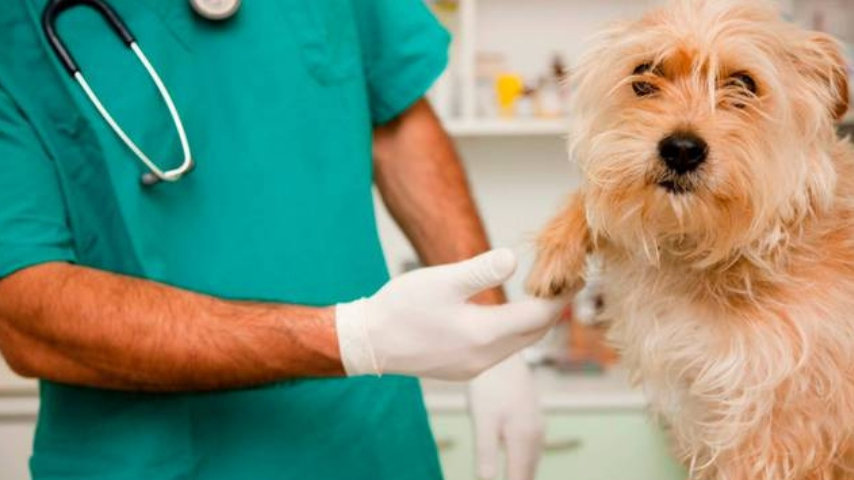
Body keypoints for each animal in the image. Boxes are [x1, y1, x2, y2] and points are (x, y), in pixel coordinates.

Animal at [528, 1, 854, 478]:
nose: (681, 149)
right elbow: (599, 196)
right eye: (645, 74)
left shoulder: (778, 430)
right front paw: (556, 253)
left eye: (744, 83)